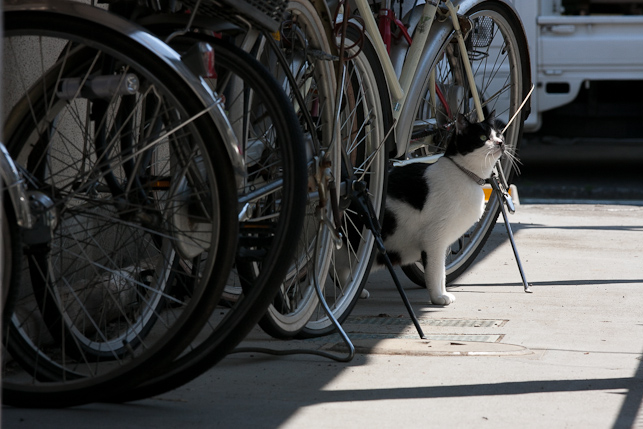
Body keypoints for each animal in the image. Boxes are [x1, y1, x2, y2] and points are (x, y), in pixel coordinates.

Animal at [378, 111, 508, 304]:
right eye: (484, 137)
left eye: (499, 134)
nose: (500, 142)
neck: (464, 175)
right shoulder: (435, 240)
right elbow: (436, 271)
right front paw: (438, 297)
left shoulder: (443, 243)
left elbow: (441, 274)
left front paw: (442, 293)